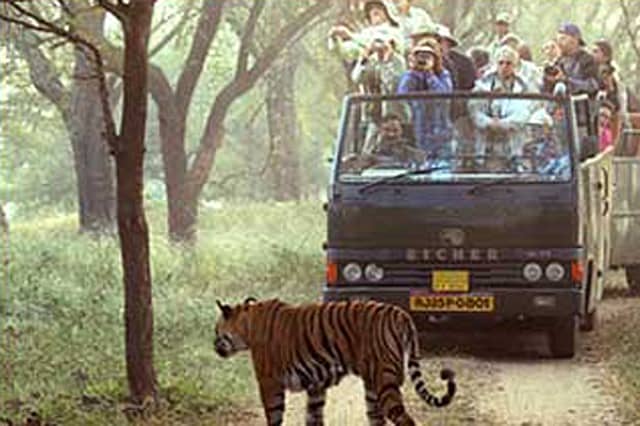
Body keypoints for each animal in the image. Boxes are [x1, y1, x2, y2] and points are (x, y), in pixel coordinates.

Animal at [214, 298, 456, 426]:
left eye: (216, 331)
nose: (213, 345)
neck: (248, 324)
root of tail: (400, 313)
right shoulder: (316, 386)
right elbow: (313, 418)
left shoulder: (269, 382)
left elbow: (274, 417)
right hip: (373, 385)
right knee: (377, 419)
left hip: (384, 381)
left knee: (404, 419)